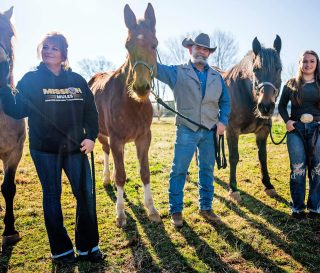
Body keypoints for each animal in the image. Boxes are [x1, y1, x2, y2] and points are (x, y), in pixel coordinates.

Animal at [89, 3, 160, 226]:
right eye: (127, 46)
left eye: (154, 44)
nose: (141, 87)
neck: (132, 104)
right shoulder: (116, 138)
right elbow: (121, 175)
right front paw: (120, 214)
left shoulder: (144, 137)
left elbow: (145, 173)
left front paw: (151, 209)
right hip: (102, 134)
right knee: (105, 152)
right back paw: (106, 179)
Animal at [222, 35, 282, 202]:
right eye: (255, 70)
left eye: (279, 68)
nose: (266, 106)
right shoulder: (232, 130)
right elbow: (234, 157)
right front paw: (233, 189)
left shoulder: (263, 131)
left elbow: (263, 157)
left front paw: (268, 185)